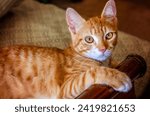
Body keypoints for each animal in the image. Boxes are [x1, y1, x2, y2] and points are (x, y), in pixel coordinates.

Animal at [0, 0, 131, 98]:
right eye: (89, 39)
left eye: (109, 35)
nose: (103, 49)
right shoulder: (65, 89)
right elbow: (93, 72)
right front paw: (117, 76)